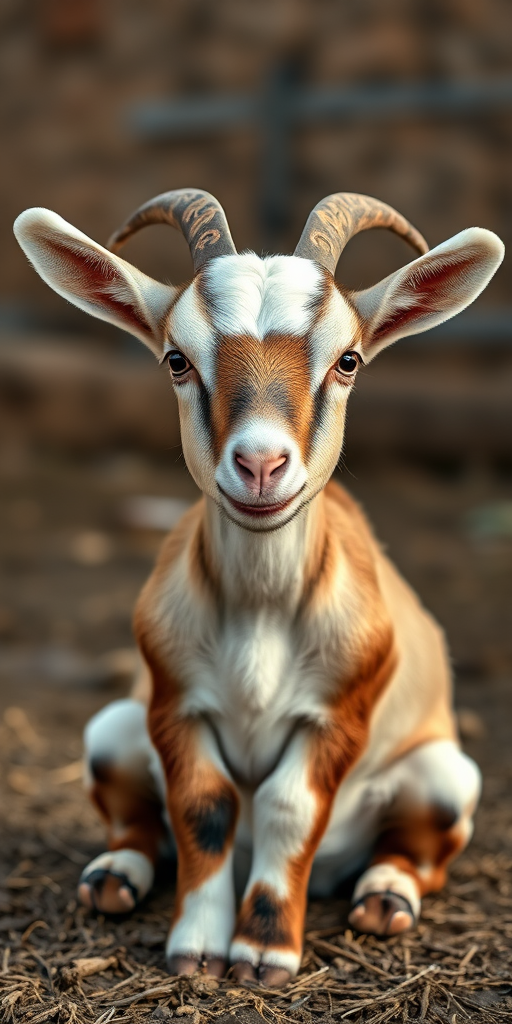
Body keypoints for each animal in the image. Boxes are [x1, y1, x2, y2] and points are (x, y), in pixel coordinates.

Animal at [14, 191, 503, 987]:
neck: (261, 613)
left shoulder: (340, 713)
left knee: (417, 851)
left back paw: (385, 899)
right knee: (139, 823)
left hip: (444, 774)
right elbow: (204, 805)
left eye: (348, 360)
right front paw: (197, 949)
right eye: (177, 360)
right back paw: (113, 878)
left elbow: (285, 807)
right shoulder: (174, 703)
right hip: (111, 729)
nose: (262, 465)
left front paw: (265, 952)